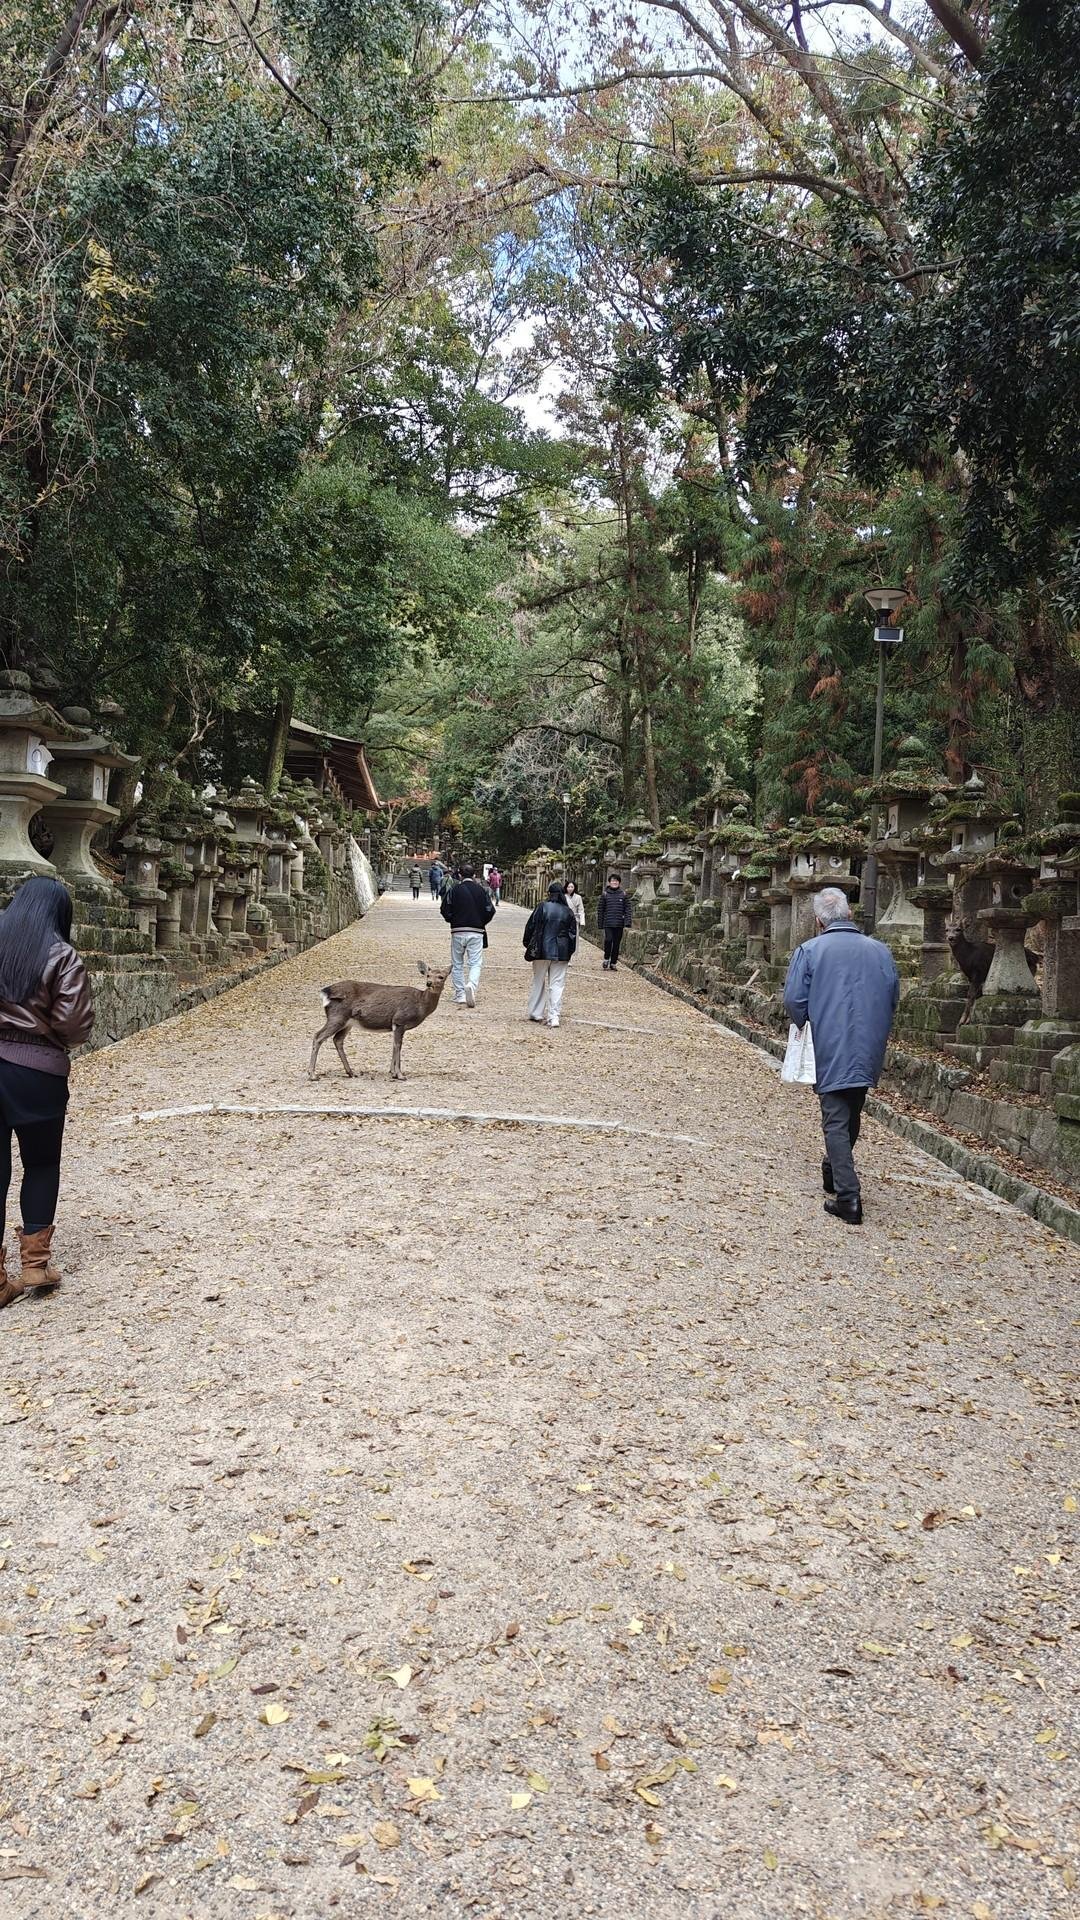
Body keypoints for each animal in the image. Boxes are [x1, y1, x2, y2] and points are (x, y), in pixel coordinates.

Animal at [309, 962, 451, 1080]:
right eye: (428, 975)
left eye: (441, 977)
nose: (429, 983)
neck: (420, 1004)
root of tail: (325, 992)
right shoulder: (400, 1019)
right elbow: (398, 1045)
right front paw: (400, 1075)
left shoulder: (397, 1025)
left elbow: (394, 1045)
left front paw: (392, 1072)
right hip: (337, 1016)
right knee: (318, 1036)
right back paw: (313, 1075)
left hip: (348, 1022)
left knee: (337, 1039)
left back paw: (351, 1072)